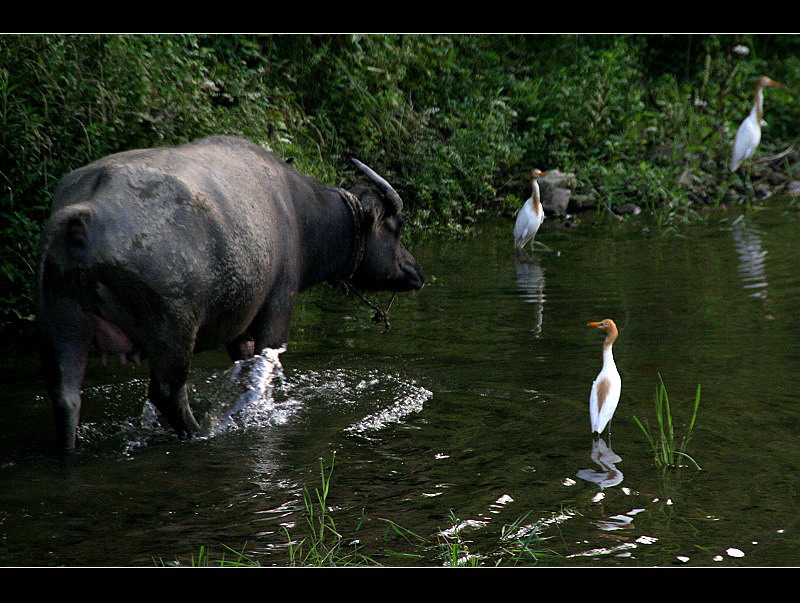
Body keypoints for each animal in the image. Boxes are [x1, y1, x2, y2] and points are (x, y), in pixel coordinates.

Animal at [37, 136, 424, 448]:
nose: (415, 271)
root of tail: (87, 210)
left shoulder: (240, 330)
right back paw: (200, 431)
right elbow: (262, 373)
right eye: (397, 225)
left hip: (64, 322)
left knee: (66, 397)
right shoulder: (277, 307)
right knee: (168, 393)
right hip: (173, 330)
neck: (300, 214)